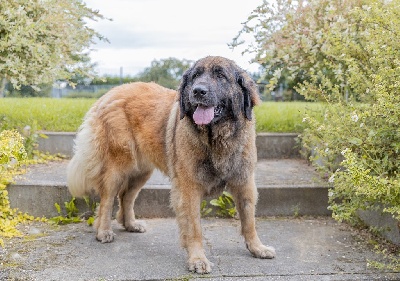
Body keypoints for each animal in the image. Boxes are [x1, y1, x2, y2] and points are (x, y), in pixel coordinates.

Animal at [67, 55, 276, 272]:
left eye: (220, 76)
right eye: (195, 76)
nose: (198, 91)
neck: (216, 138)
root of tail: (108, 94)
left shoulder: (244, 182)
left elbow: (249, 220)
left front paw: (257, 248)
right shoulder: (188, 188)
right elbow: (194, 227)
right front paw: (198, 259)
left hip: (141, 171)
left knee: (126, 196)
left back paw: (131, 224)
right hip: (118, 166)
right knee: (107, 200)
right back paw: (103, 231)